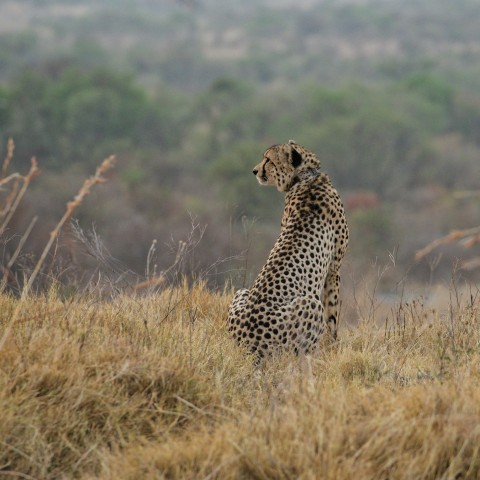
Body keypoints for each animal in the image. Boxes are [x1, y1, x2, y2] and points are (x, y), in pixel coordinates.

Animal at [229, 139, 348, 360]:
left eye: (268, 159)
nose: (254, 170)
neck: (305, 176)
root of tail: (245, 344)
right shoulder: (334, 270)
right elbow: (333, 316)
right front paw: (334, 347)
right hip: (310, 304)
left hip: (242, 291)